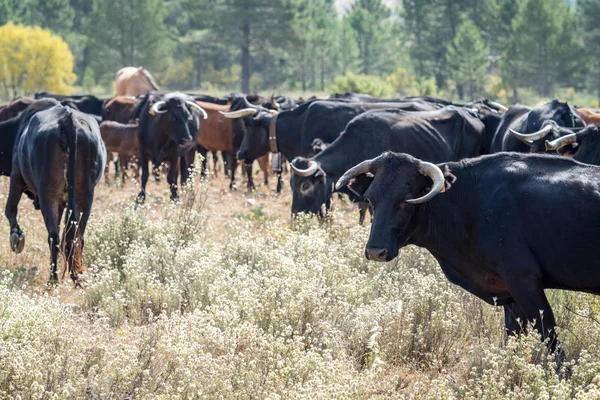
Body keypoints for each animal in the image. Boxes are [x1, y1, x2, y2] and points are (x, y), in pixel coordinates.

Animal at [2, 99, 106, 282]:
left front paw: (16, 238)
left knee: (54, 237)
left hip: (47, 196)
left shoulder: (16, 176)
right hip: (85, 197)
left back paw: (53, 279)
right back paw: (76, 276)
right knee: (76, 236)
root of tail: (68, 120)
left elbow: (10, 209)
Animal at [338, 152, 600, 354]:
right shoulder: (510, 294)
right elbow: (513, 337)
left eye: (405, 201)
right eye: (370, 199)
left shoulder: (524, 280)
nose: (375, 251)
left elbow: (551, 341)